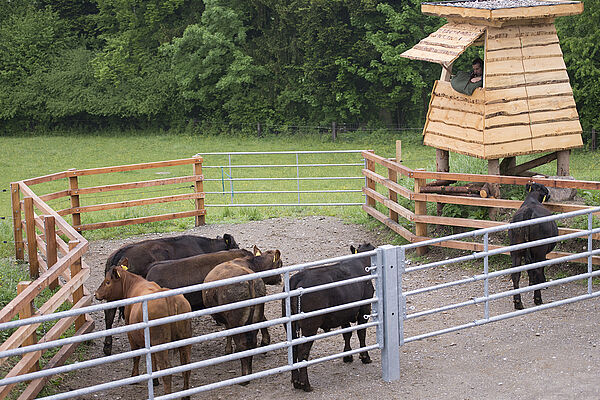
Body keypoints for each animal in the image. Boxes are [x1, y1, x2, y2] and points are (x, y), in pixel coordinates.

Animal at [200, 250, 282, 382]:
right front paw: (265, 341)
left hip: (236, 319)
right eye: (280, 264)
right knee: (251, 341)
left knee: (242, 342)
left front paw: (228, 350)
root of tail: (249, 281)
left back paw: (245, 375)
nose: (279, 280)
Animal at [284, 242, 376, 392]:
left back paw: (296, 382)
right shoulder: (364, 308)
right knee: (303, 352)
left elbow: (347, 333)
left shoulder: (344, 313)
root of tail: (299, 276)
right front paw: (365, 356)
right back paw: (306, 384)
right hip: (310, 326)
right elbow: (361, 333)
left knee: (294, 350)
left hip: (291, 327)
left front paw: (347, 356)